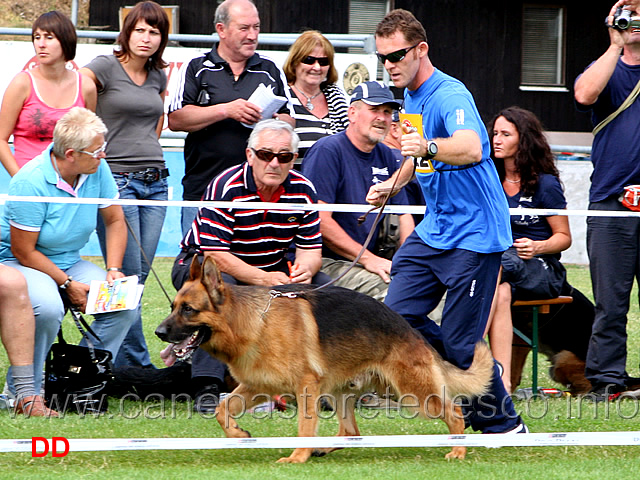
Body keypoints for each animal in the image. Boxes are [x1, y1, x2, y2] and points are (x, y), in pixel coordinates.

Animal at [155, 256, 496, 464]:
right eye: (173, 306)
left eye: (188, 309)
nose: (158, 332)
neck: (251, 322)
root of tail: (412, 331)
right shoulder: (258, 386)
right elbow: (222, 410)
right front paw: (239, 435)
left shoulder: (305, 387)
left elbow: (305, 426)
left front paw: (297, 456)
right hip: (341, 391)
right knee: (351, 433)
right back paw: (323, 447)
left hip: (412, 394)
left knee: (454, 412)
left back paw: (459, 449)